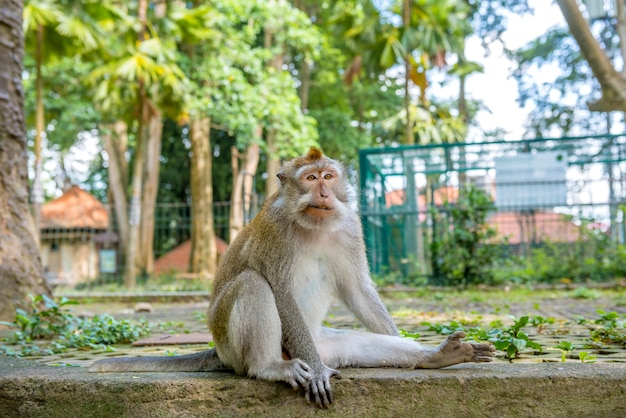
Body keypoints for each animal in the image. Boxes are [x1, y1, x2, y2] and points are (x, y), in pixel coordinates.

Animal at [90, 148, 494, 408]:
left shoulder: (349, 227)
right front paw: (316, 375)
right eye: (310, 178)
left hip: (320, 343)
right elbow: (280, 293)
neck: (314, 225)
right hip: (237, 344)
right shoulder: (275, 233)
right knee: (253, 284)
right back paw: (271, 367)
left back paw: (436, 356)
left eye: (328, 176)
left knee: (353, 344)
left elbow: (358, 290)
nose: (324, 191)